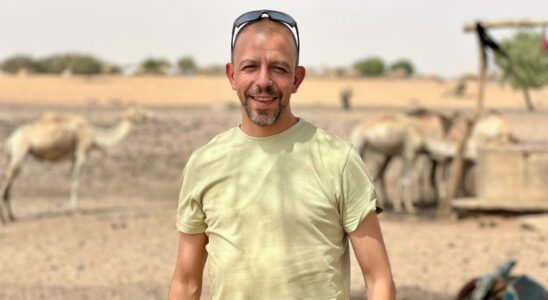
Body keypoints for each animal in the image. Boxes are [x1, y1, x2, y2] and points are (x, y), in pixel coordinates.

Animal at [0, 107, 152, 223]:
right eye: (140, 113)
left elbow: (71, 180)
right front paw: (76, 210)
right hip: (20, 152)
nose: (151, 116)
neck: (95, 136)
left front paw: (70, 209)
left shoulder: (73, 157)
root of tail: (10, 140)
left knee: (9, 178)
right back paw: (4, 219)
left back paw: (12, 216)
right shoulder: (81, 154)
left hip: (14, 156)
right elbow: (76, 182)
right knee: (6, 178)